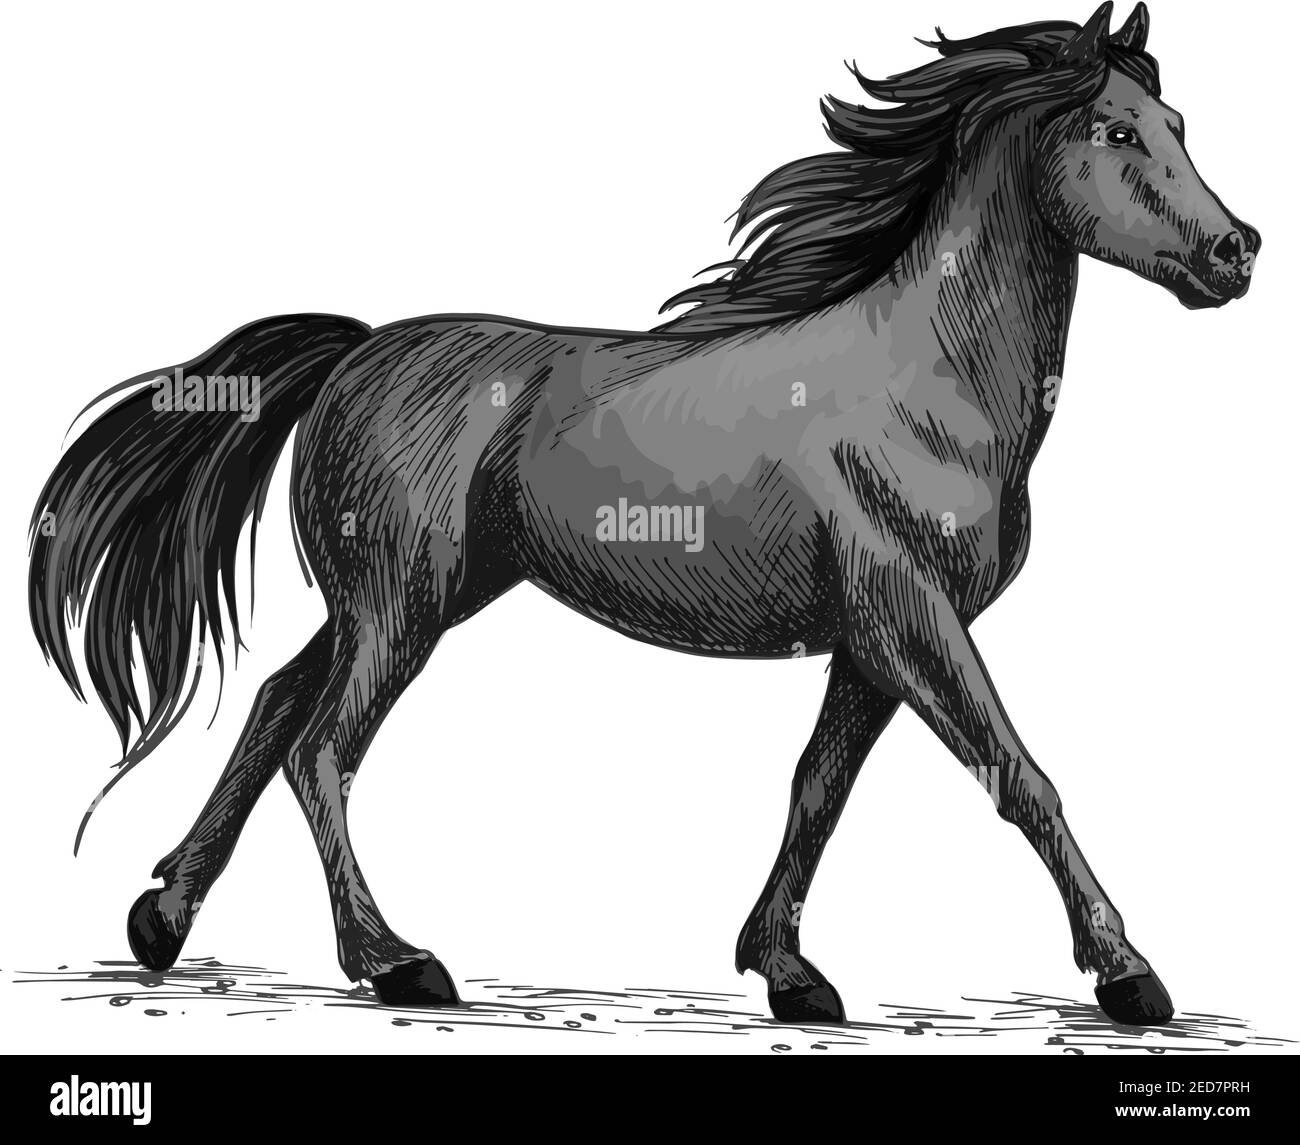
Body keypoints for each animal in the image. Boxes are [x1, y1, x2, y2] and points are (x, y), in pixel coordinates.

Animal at [28, 3, 1259, 1027]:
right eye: (1112, 130)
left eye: (1176, 122)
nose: (1236, 251)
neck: (927, 382)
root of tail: (357, 350)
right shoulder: (910, 618)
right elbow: (1019, 773)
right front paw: (1129, 975)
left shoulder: (869, 642)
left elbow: (818, 789)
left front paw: (789, 972)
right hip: (402, 602)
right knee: (321, 746)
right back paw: (395, 961)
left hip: (411, 594)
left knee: (277, 703)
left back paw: (161, 920)